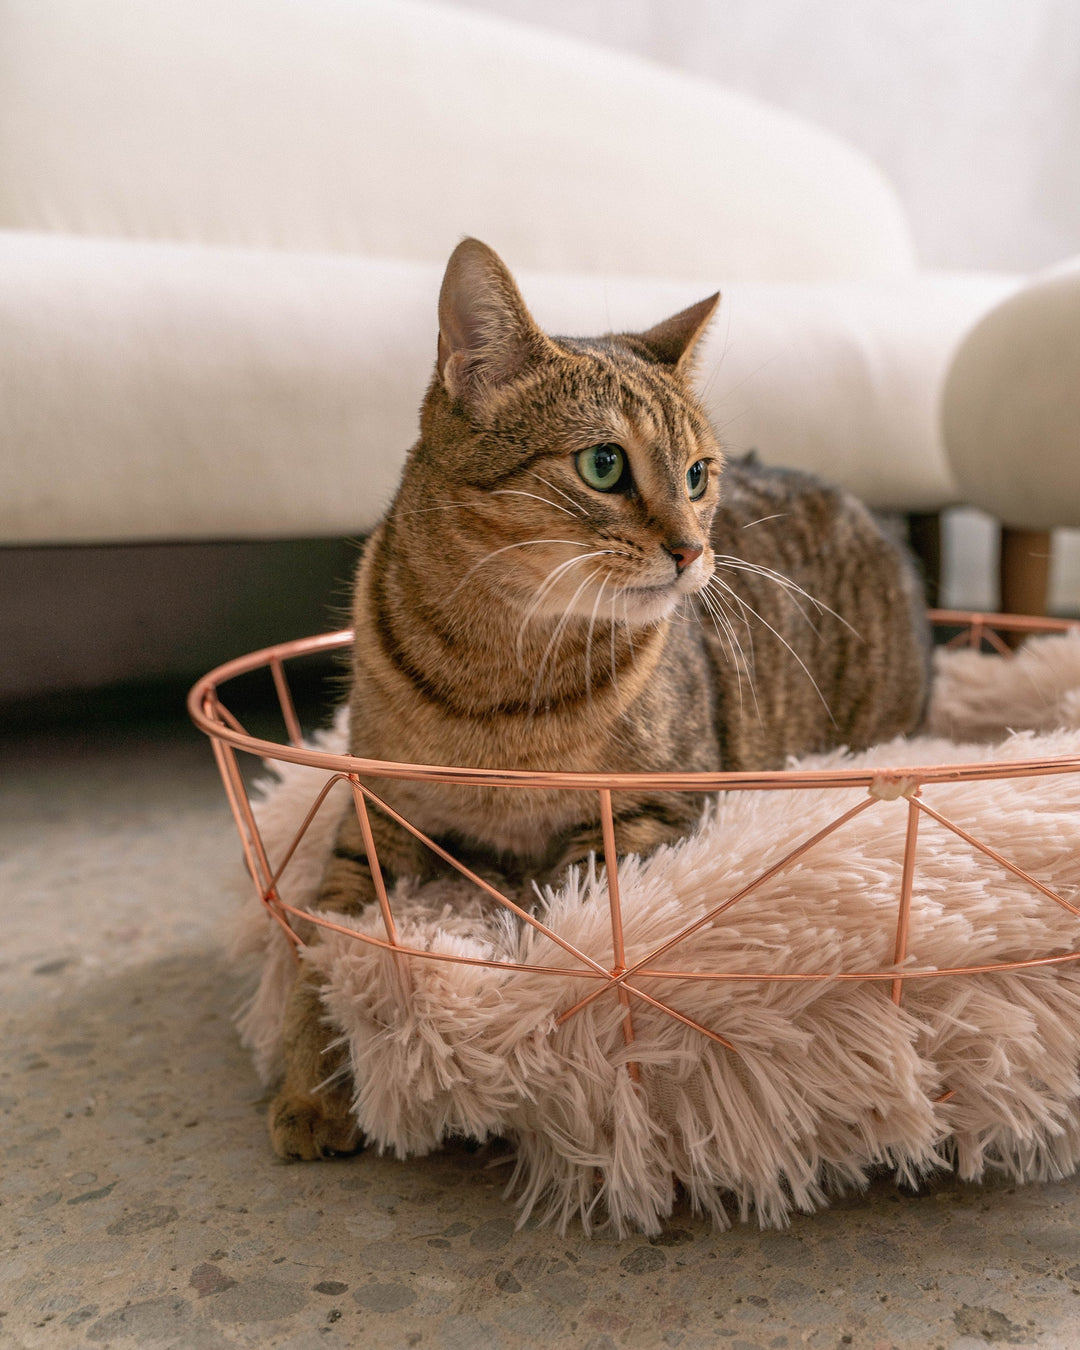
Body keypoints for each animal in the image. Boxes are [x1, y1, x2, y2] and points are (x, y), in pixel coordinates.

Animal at [267, 237, 928, 1155]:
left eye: (698, 475)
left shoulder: (651, 808)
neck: (496, 676)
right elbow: (321, 950)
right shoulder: (372, 825)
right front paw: (310, 1083)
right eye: (604, 464)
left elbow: (559, 916)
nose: (693, 552)